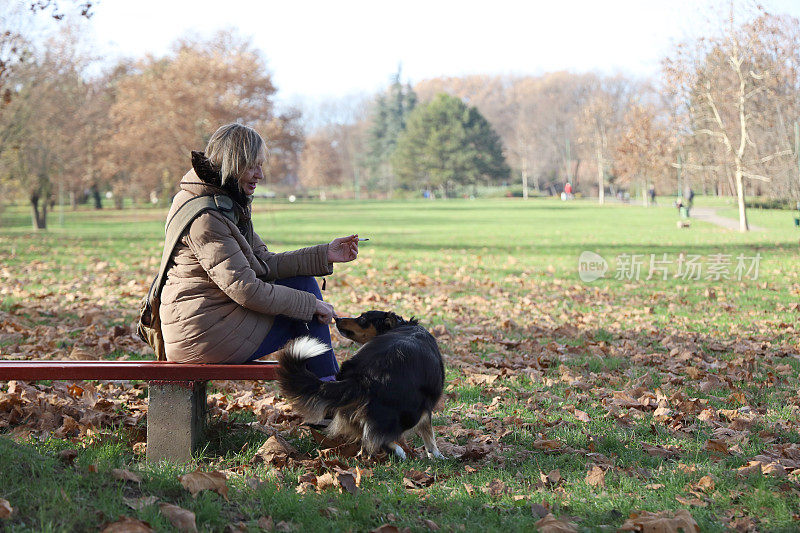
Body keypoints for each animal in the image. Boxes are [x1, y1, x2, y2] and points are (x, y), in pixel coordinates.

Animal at [278, 312, 446, 458]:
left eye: (363, 318)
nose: (337, 318)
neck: (402, 325)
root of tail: (365, 375)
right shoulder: (426, 407)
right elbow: (428, 432)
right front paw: (436, 455)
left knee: (364, 434)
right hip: (411, 411)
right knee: (378, 438)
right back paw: (399, 452)